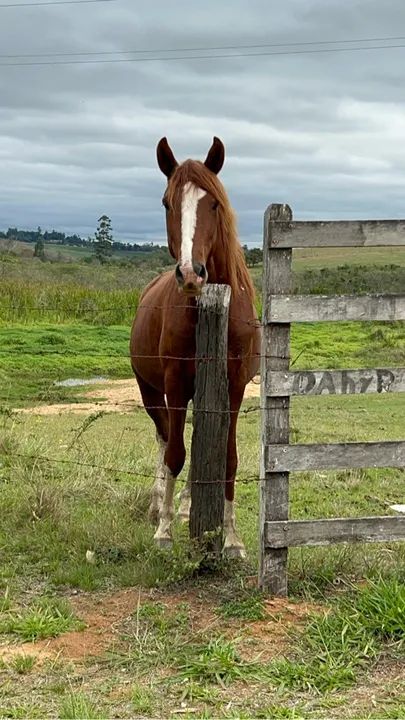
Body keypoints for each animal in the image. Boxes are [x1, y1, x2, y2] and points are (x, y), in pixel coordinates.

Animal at [130, 136, 260, 558]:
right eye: (167, 202)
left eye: (214, 203)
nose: (191, 274)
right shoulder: (173, 384)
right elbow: (175, 453)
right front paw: (165, 532)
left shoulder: (234, 387)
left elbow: (228, 459)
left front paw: (232, 539)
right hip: (150, 390)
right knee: (164, 438)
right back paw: (160, 505)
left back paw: (187, 505)